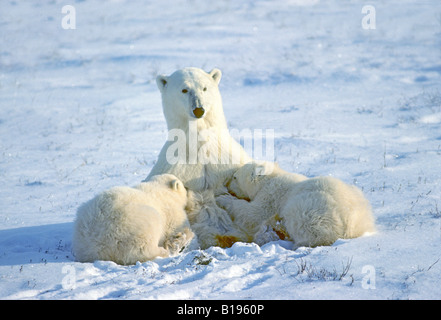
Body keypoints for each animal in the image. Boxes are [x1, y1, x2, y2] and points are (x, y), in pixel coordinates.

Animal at [144, 67, 253, 248]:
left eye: (204, 88)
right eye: (184, 89)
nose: (199, 110)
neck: (200, 145)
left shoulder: (227, 161)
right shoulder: (175, 168)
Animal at [217, 162, 374, 248]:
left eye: (235, 177)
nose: (226, 185)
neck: (271, 178)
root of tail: (351, 226)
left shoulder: (272, 195)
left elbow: (253, 213)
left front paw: (222, 198)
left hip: (311, 209)